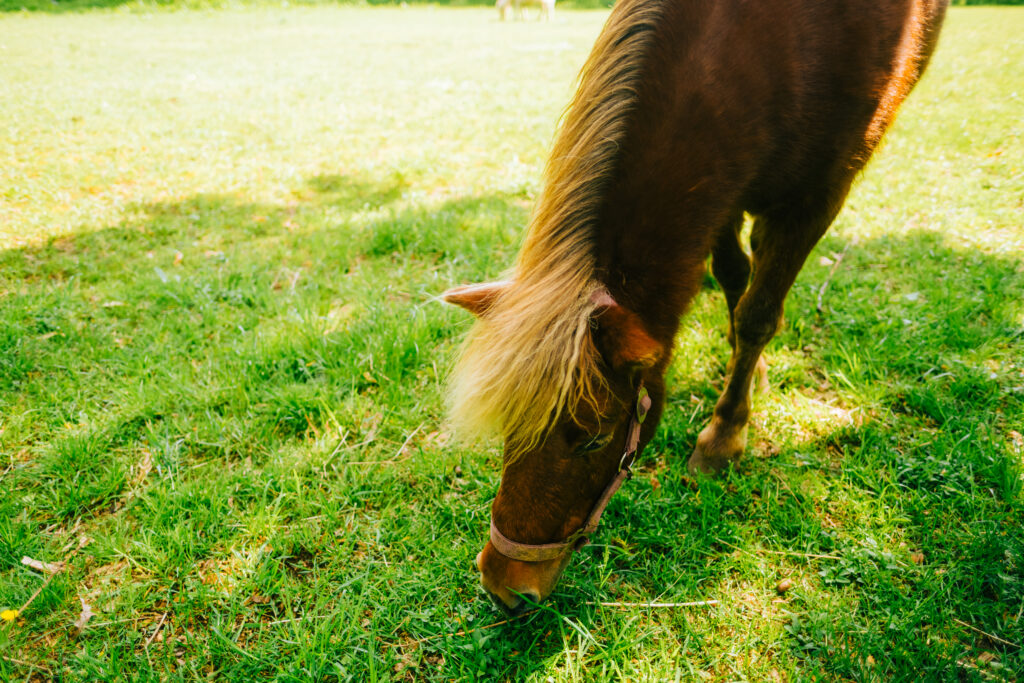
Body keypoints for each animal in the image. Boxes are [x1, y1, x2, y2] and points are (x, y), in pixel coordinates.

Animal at [445, 0, 948, 613]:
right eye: (510, 430)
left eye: (592, 437)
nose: (502, 585)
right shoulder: (719, 192)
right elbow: (735, 279)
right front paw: (742, 378)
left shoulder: (817, 195)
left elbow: (758, 313)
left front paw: (726, 434)